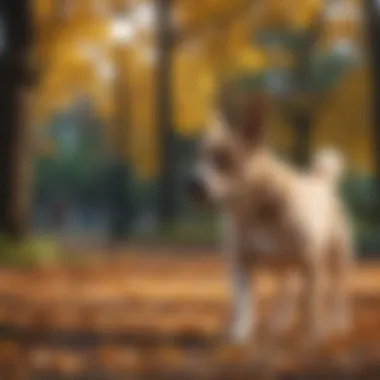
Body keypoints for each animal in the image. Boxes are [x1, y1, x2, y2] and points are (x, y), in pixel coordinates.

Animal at [187, 97, 354, 344]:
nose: (191, 184)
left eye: (225, 161)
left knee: (337, 292)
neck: (258, 210)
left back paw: (338, 321)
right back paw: (279, 323)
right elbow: (243, 303)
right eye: (198, 158)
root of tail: (320, 180)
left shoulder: (311, 264)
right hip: (283, 268)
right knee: (285, 291)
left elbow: (310, 303)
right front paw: (239, 334)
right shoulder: (241, 263)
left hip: (337, 259)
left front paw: (312, 335)